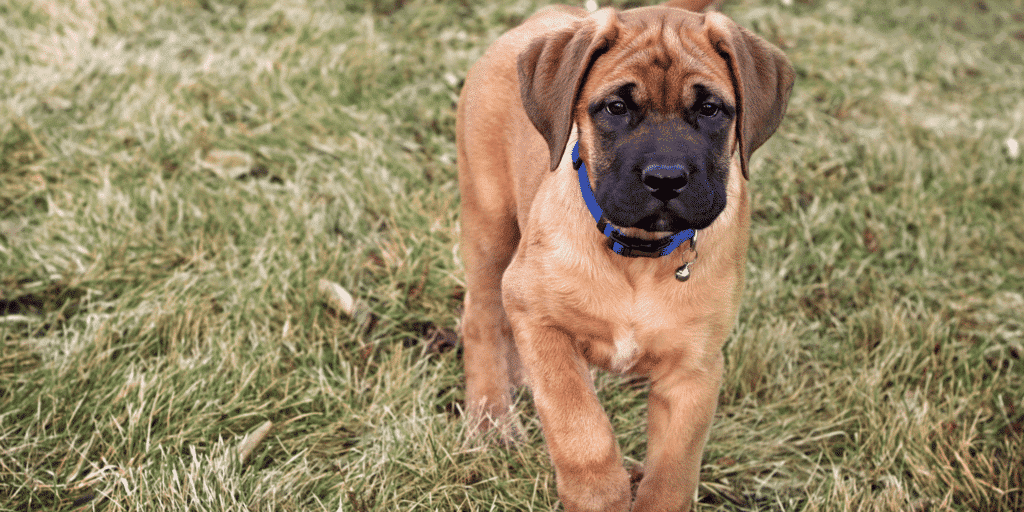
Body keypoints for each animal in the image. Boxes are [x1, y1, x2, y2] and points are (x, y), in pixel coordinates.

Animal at [454, 2, 790, 509]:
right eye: (616, 107)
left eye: (710, 109)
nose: (666, 179)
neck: (637, 257)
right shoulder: (537, 314)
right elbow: (580, 425)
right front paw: (599, 493)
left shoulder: (694, 369)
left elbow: (672, 473)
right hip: (489, 222)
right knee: (482, 316)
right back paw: (491, 415)